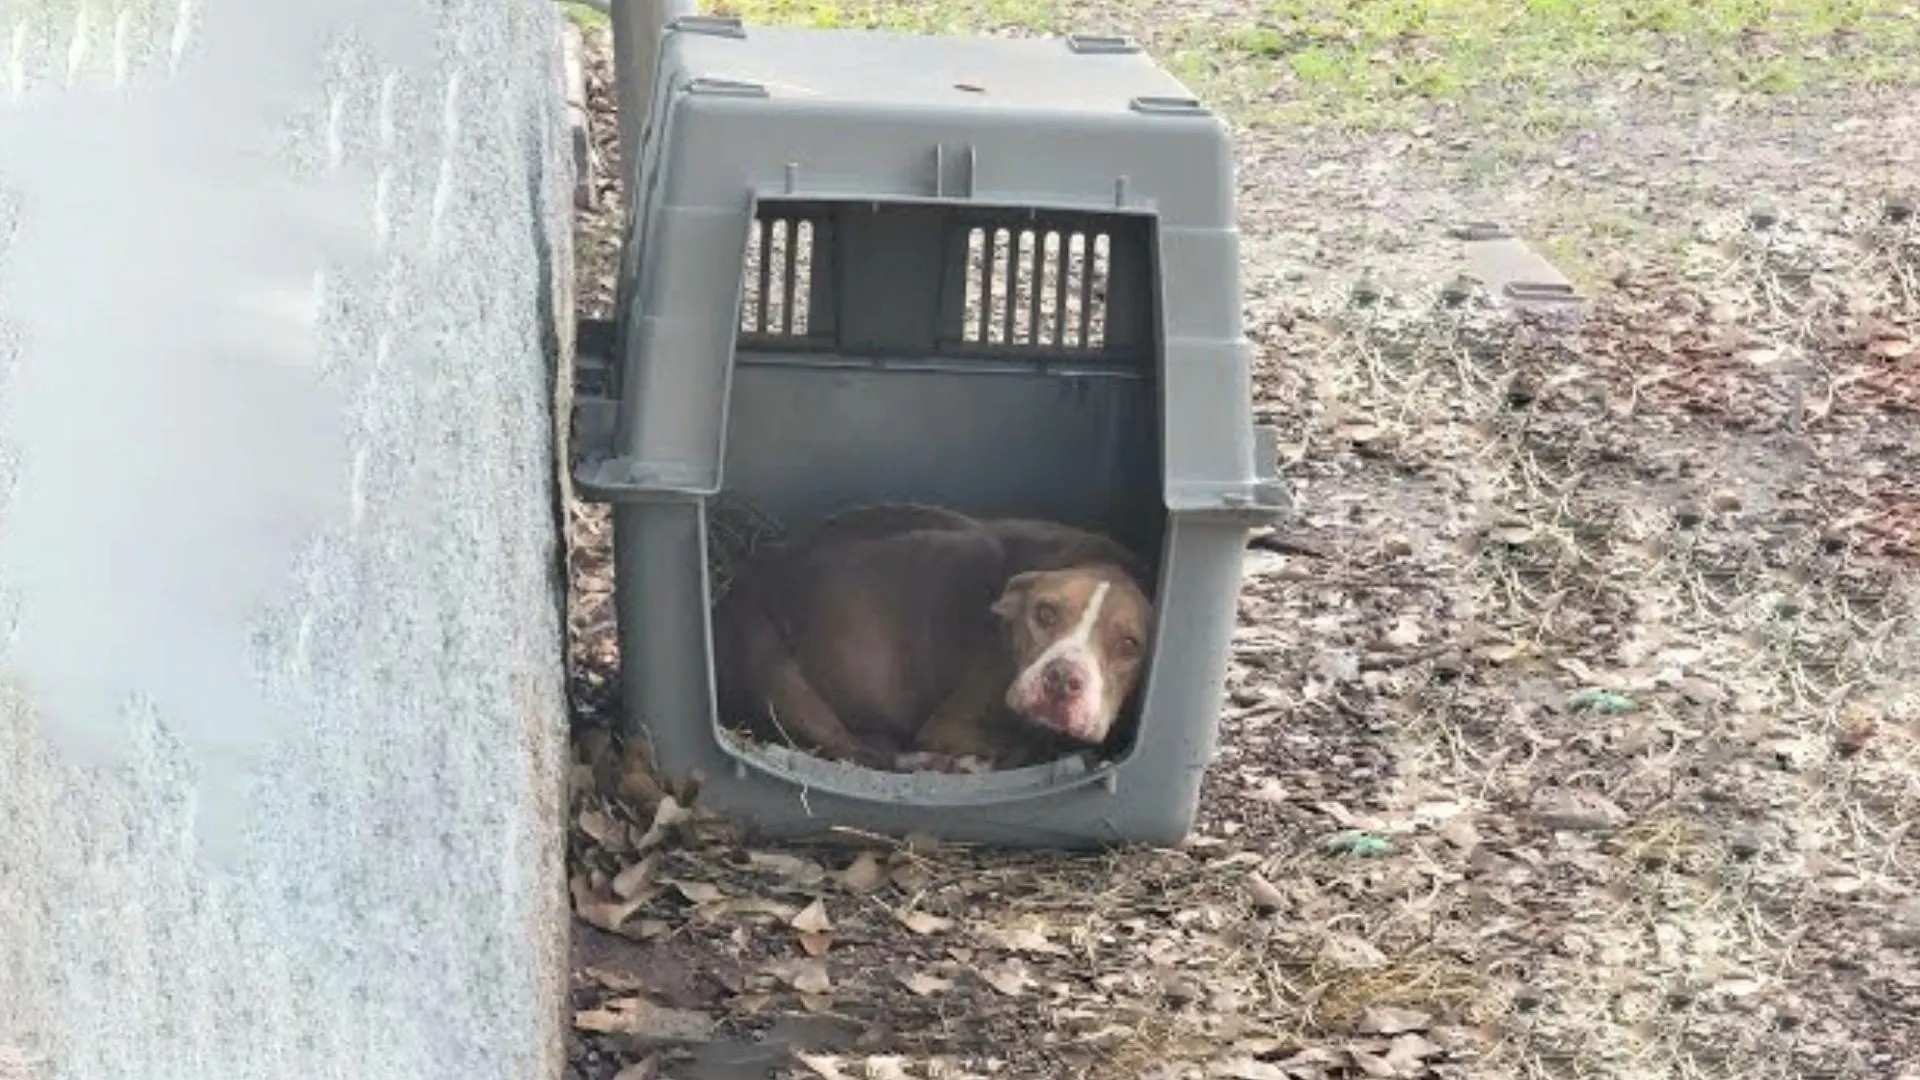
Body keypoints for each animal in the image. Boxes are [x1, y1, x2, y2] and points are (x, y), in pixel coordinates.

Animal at [710, 499, 1144, 768]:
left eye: (1130, 644)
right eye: (1045, 612)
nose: (1062, 678)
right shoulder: (949, 725)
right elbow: (1019, 743)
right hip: (774, 670)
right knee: (858, 752)